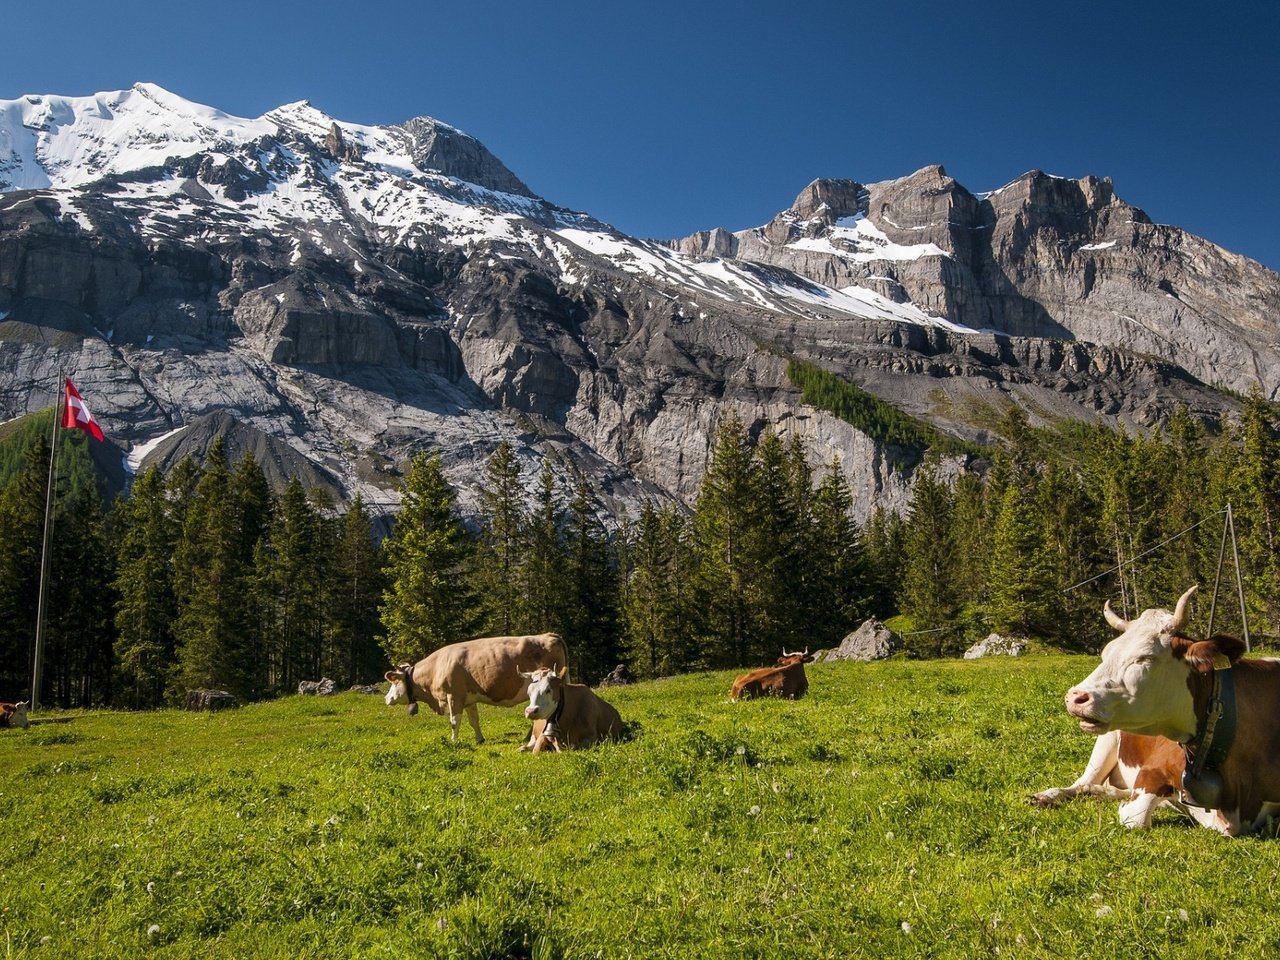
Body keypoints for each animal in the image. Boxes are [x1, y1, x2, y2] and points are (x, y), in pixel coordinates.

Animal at [381, 634, 568, 747]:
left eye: (394, 682)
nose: (386, 698)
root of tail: (549, 635)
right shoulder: (469, 700)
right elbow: (474, 721)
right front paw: (479, 739)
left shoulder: (454, 696)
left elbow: (454, 721)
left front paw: (454, 741)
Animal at [1054, 583, 1280, 839]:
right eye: (1105, 653)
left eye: (1144, 657)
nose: (1075, 697)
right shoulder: (1154, 768)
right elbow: (1136, 816)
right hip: (1106, 741)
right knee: (1080, 783)